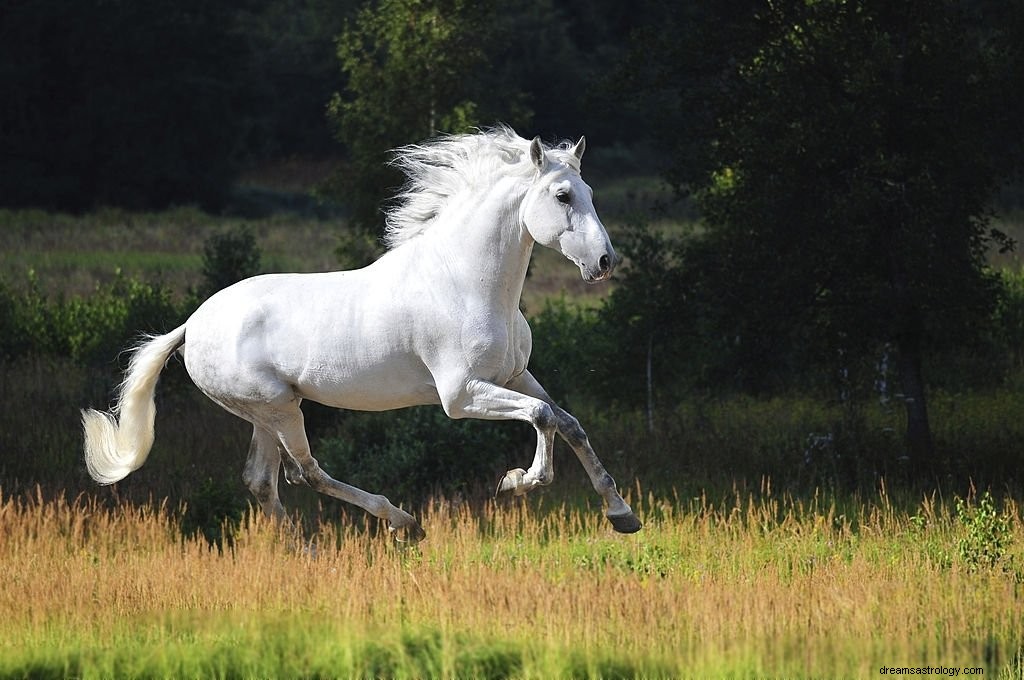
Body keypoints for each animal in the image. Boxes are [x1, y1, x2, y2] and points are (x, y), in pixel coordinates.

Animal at [81, 125, 638, 540]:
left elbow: (568, 423)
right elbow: (542, 418)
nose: (604, 262)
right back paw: (403, 524)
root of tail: (192, 325)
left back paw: (306, 553)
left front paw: (621, 514)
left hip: (264, 412)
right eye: (562, 195)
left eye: (590, 193)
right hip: (278, 408)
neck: (466, 282)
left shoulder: (516, 376)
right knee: (304, 471)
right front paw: (518, 482)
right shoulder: (460, 395)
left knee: (262, 481)